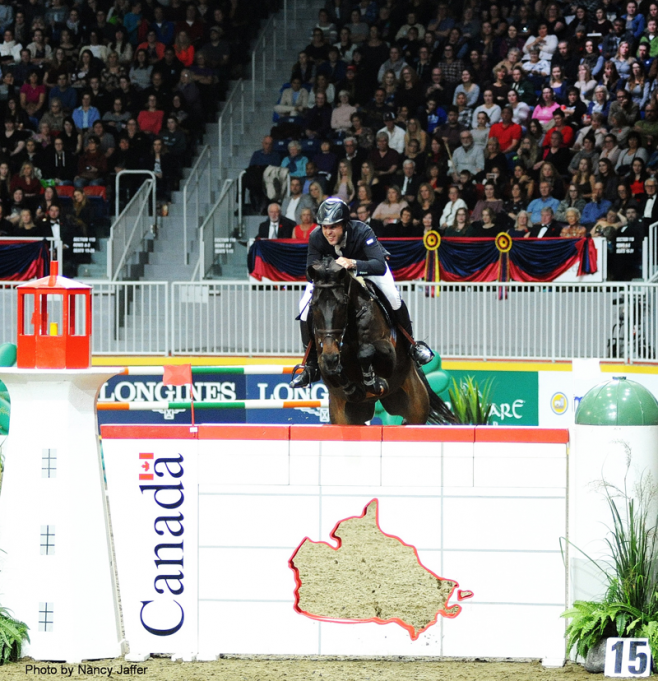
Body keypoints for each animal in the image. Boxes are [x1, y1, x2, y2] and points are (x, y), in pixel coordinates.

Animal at [304, 256, 454, 424]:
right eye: (313, 305)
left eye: (342, 304)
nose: (331, 356)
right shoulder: (324, 360)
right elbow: (331, 370)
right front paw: (353, 387)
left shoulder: (388, 352)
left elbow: (366, 352)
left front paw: (373, 382)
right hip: (344, 416)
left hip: (416, 406)